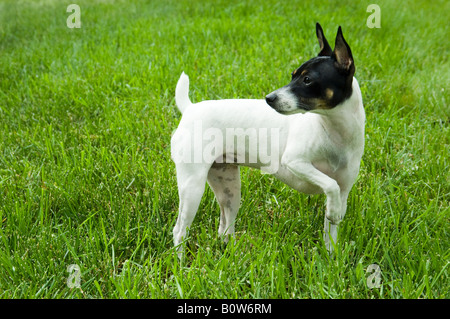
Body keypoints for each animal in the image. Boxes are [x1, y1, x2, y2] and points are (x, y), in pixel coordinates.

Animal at [171, 23, 364, 256]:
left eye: (307, 80)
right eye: (292, 75)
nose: (269, 98)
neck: (333, 131)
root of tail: (189, 109)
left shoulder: (343, 190)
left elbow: (331, 228)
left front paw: (331, 258)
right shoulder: (295, 162)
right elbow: (330, 184)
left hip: (228, 188)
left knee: (224, 226)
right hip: (192, 187)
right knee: (179, 231)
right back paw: (181, 262)